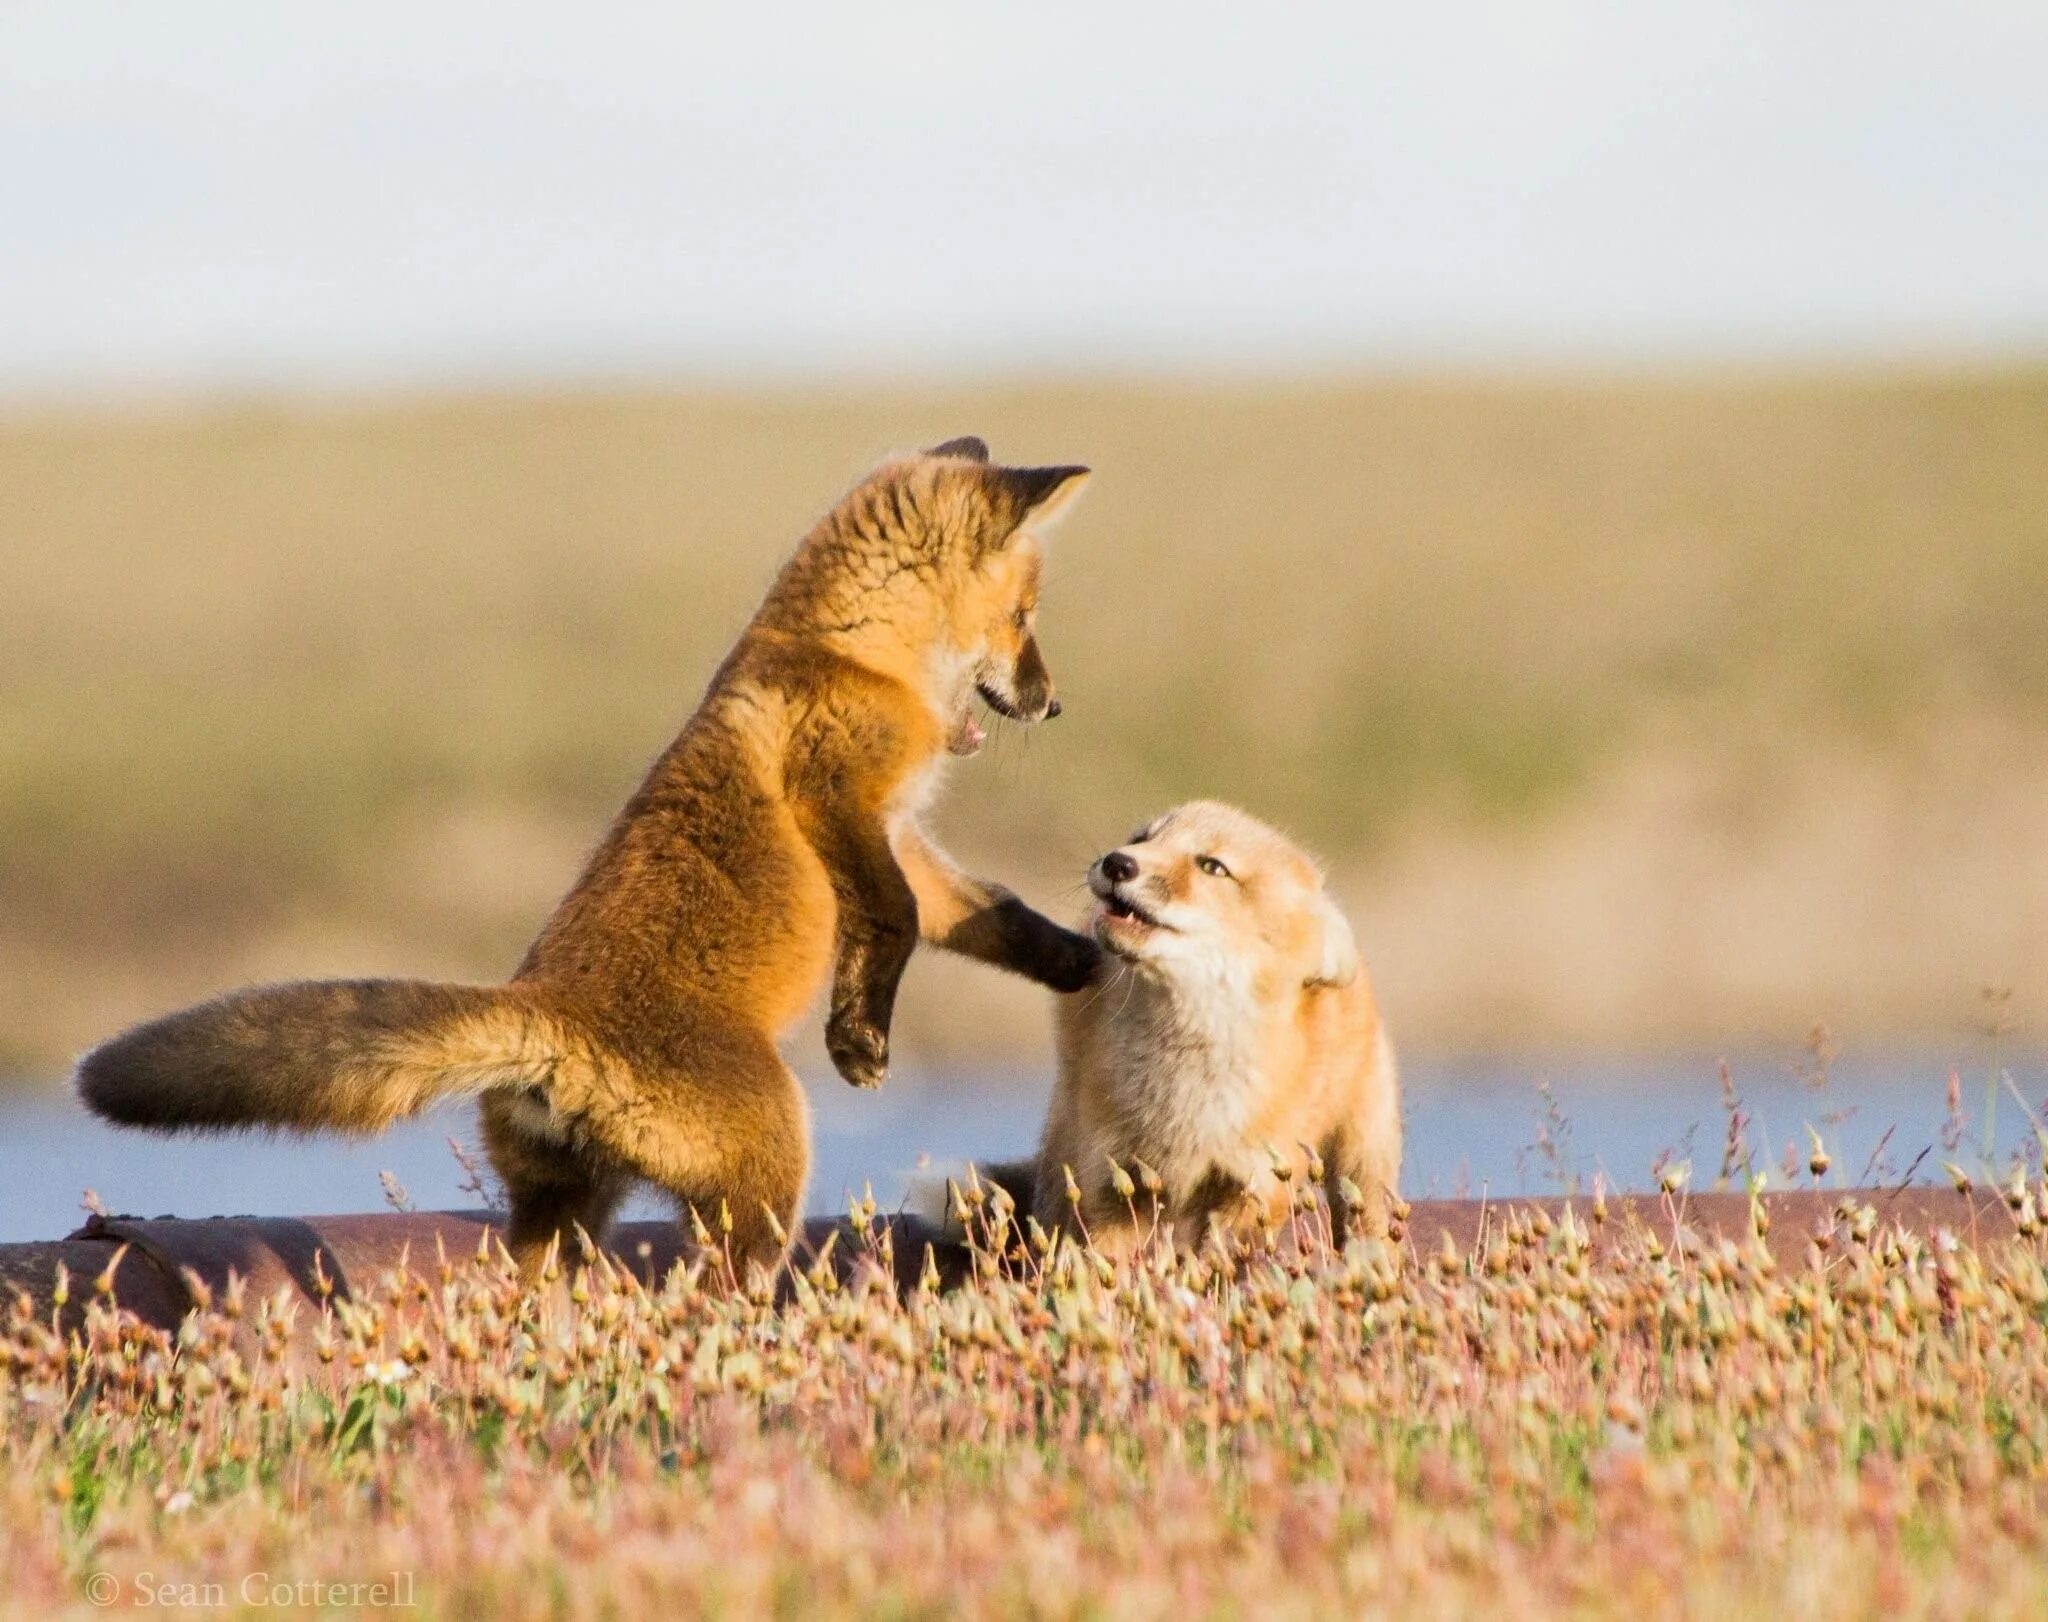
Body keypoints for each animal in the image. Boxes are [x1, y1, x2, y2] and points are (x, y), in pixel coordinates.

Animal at [75, 436, 1105, 1269]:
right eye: (1023, 617)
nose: (1055, 703)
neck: (850, 652)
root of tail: (553, 1019)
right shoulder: (841, 803)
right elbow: (888, 922)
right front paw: (858, 1040)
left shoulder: (902, 837)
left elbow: (993, 913)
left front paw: (1077, 961)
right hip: (766, 1177)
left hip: (563, 1214)